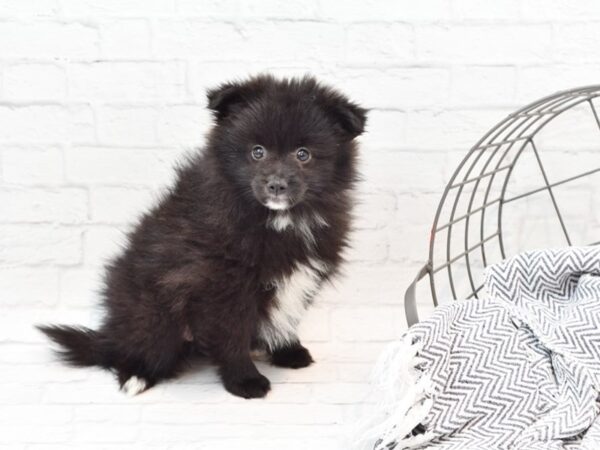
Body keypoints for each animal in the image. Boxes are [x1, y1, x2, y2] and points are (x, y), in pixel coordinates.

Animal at [38, 75, 366, 400]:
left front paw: (286, 350)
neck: (280, 219)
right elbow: (232, 332)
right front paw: (244, 379)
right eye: (257, 151)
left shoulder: (299, 274)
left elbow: (285, 314)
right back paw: (136, 374)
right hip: (153, 310)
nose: (276, 185)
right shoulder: (222, 283)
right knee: (138, 346)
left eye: (303, 154)